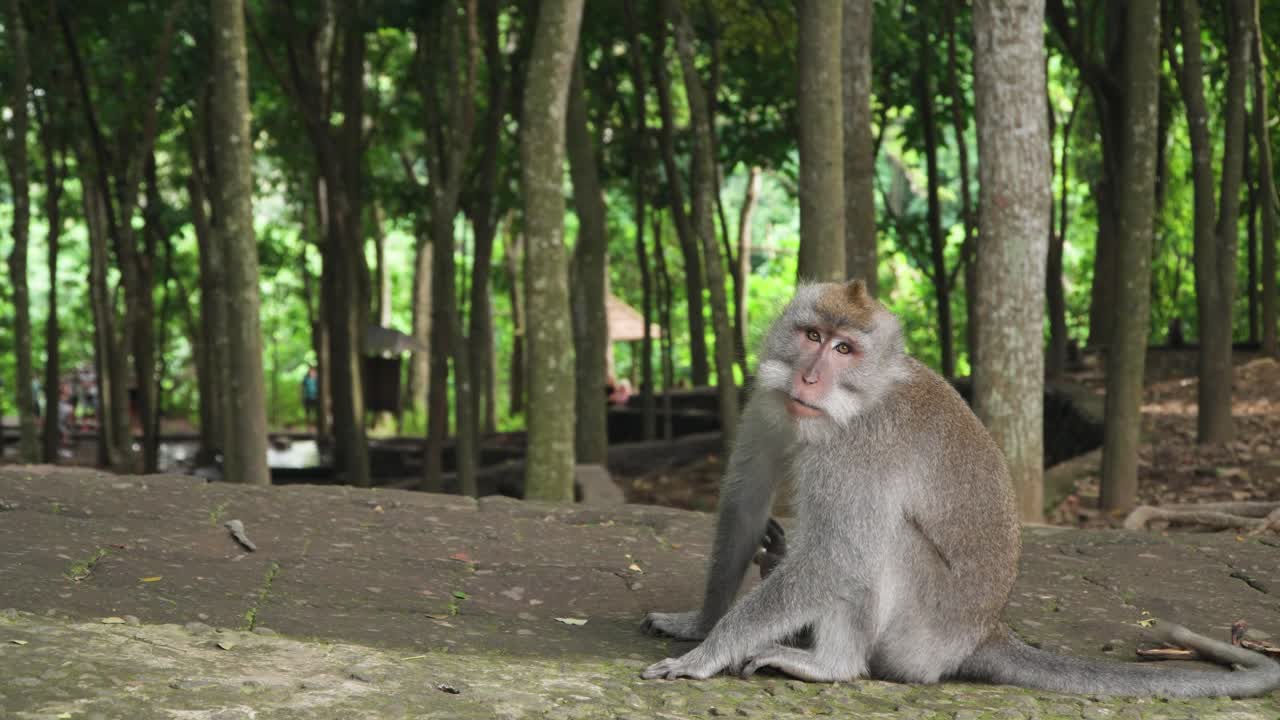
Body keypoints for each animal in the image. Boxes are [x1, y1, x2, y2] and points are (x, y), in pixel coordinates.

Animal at [640, 279, 1280, 697]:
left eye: (845, 349)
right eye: (812, 334)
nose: (810, 376)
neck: (851, 406)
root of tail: (982, 632)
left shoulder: (860, 453)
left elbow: (840, 555)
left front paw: (708, 653)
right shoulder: (770, 405)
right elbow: (743, 507)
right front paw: (700, 622)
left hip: (923, 634)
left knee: (882, 542)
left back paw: (831, 664)